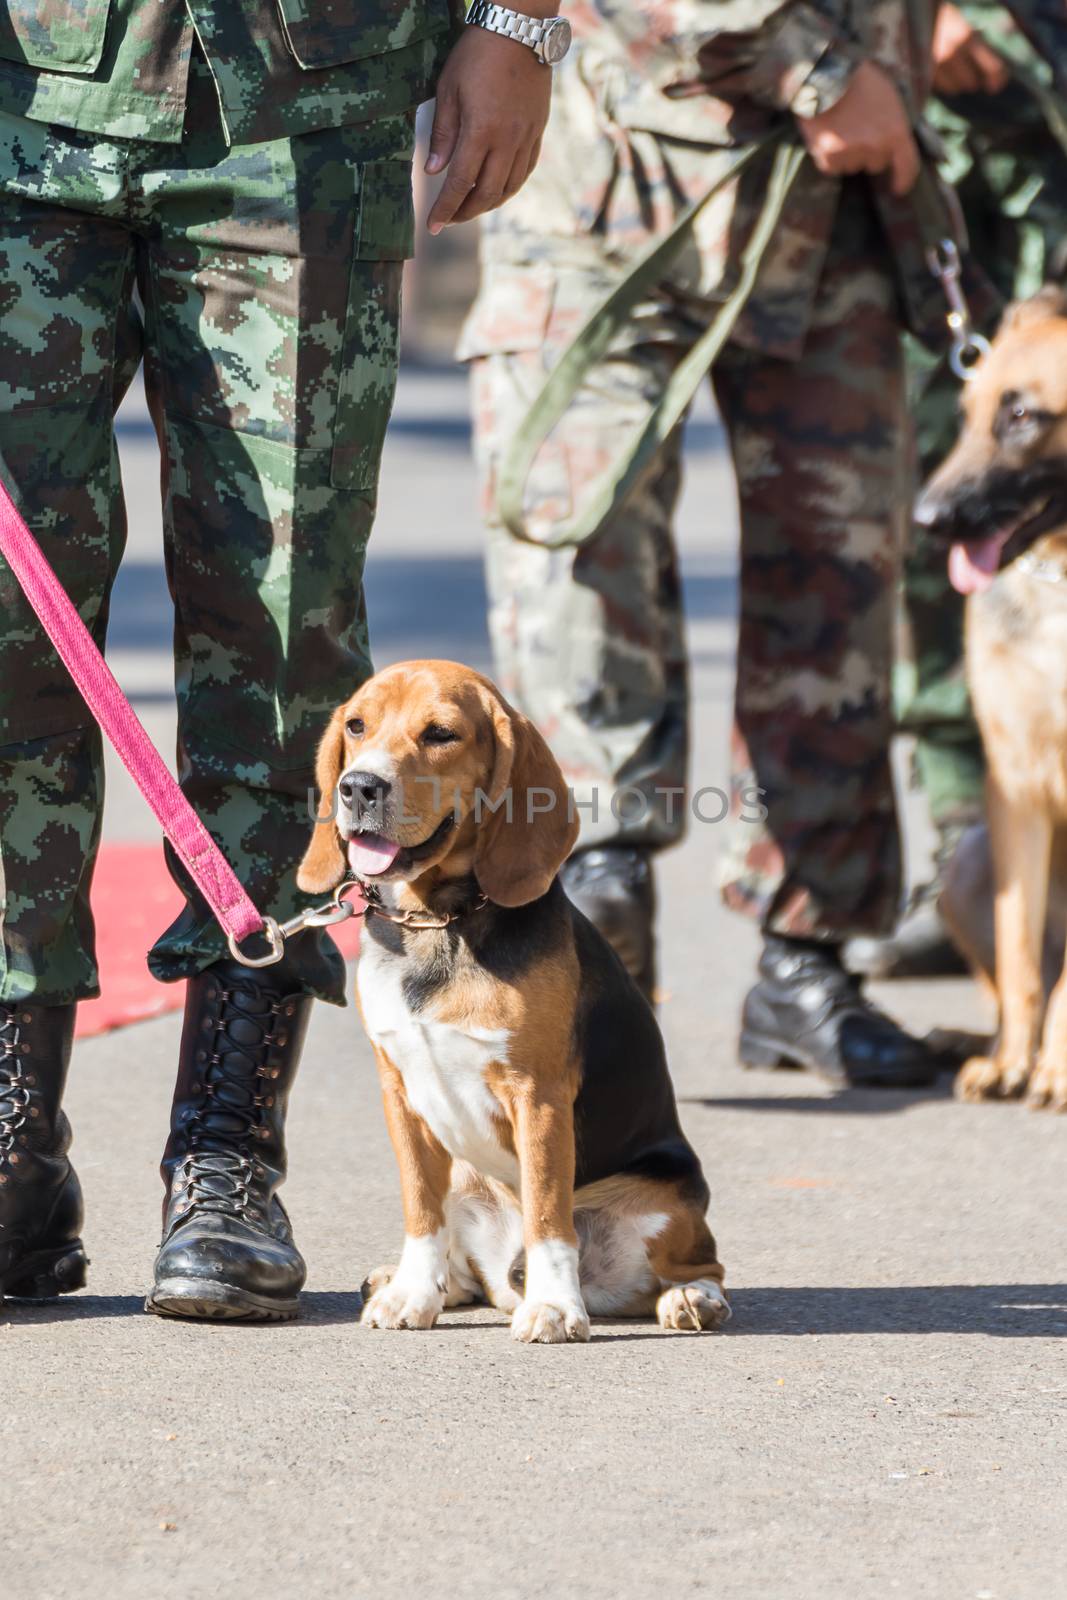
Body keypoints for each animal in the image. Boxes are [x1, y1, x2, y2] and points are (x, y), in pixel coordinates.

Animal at [303, 656, 729, 1344]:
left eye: (441, 733)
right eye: (356, 725)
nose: (359, 786)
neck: (438, 924)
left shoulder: (540, 1096)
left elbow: (549, 1216)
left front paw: (555, 1308)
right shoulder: (399, 1093)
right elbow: (421, 1211)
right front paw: (414, 1293)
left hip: (665, 1199)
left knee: (698, 1262)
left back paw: (691, 1297)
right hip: (459, 1168)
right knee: (464, 1258)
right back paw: (423, 1282)